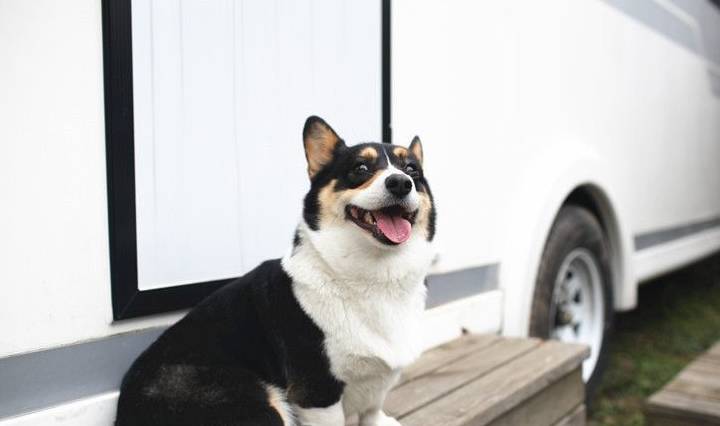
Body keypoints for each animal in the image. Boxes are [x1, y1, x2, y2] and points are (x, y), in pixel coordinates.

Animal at [115, 116, 436, 426]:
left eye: (412, 170)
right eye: (360, 168)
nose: (401, 183)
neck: (375, 275)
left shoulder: (376, 384)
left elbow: (372, 410)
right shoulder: (316, 392)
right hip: (260, 403)